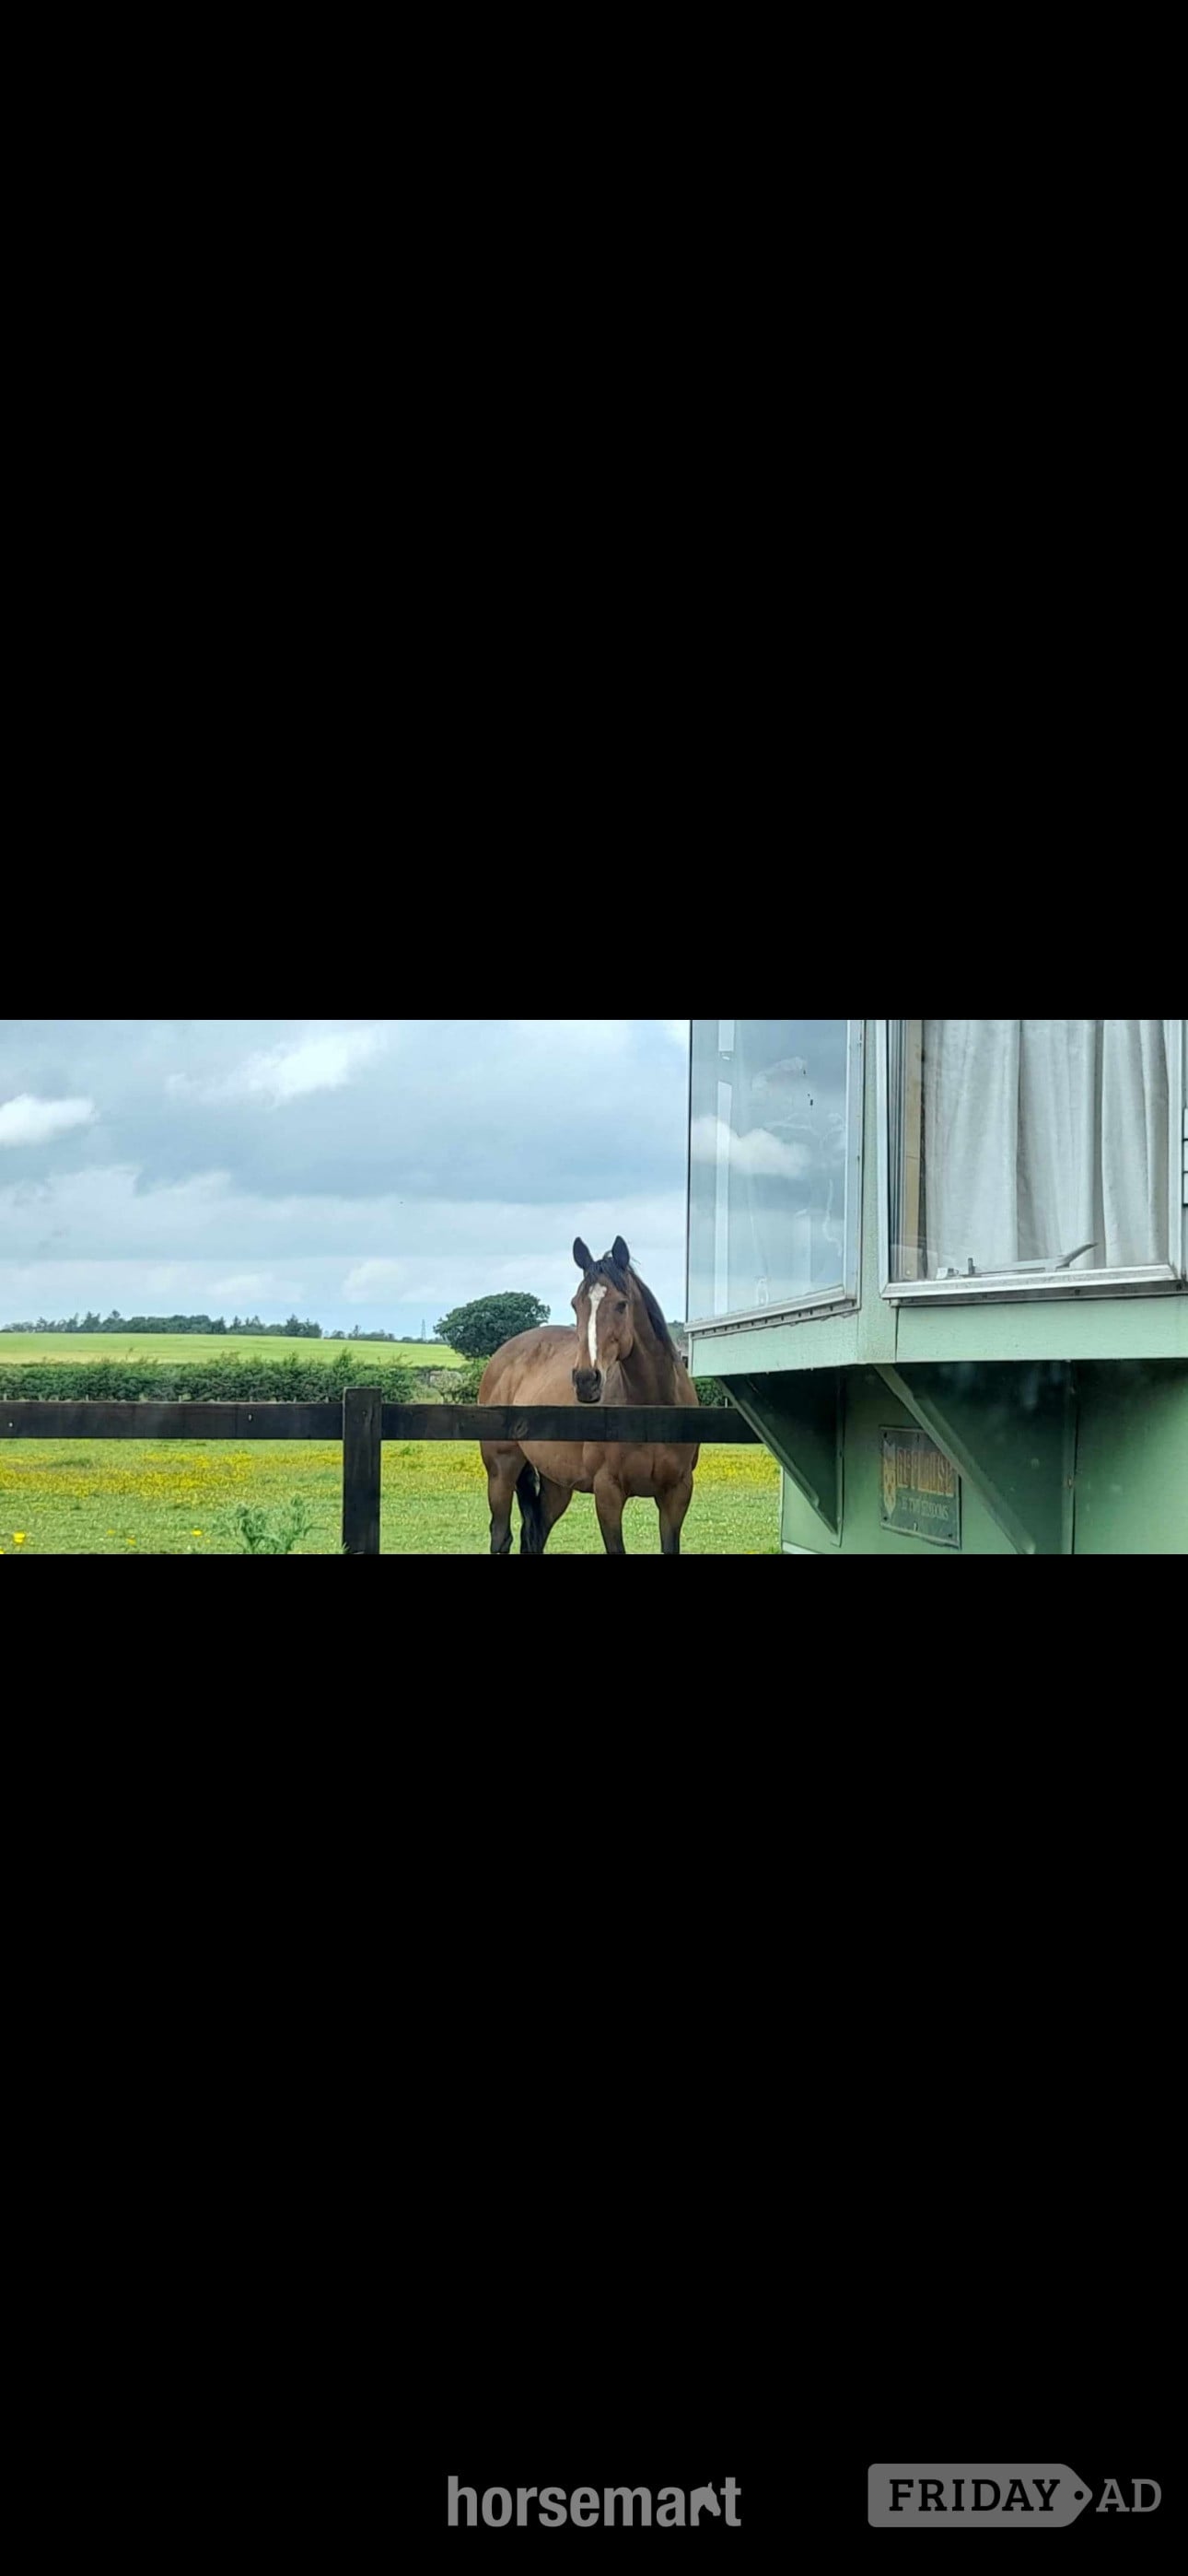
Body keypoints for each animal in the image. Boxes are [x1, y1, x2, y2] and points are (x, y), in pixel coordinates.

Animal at [479, 1234, 701, 1555]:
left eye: (621, 1304)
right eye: (576, 1304)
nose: (586, 1380)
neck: (651, 1410)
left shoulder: (677, 1493)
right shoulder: (608, 1493)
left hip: (556, 1484)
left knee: (535, 1534)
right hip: (501, 1471)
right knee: (500, 1536)